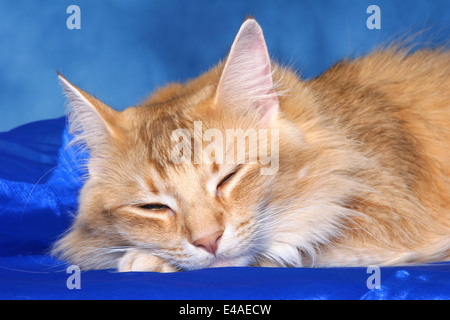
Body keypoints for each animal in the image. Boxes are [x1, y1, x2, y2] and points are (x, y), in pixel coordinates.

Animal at [51, 18, 448, 272]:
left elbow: (291, 249)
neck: (336, 128)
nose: (208, 241)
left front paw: (146, 260)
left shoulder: (391, 220)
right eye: (152, 207)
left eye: (229, 178)